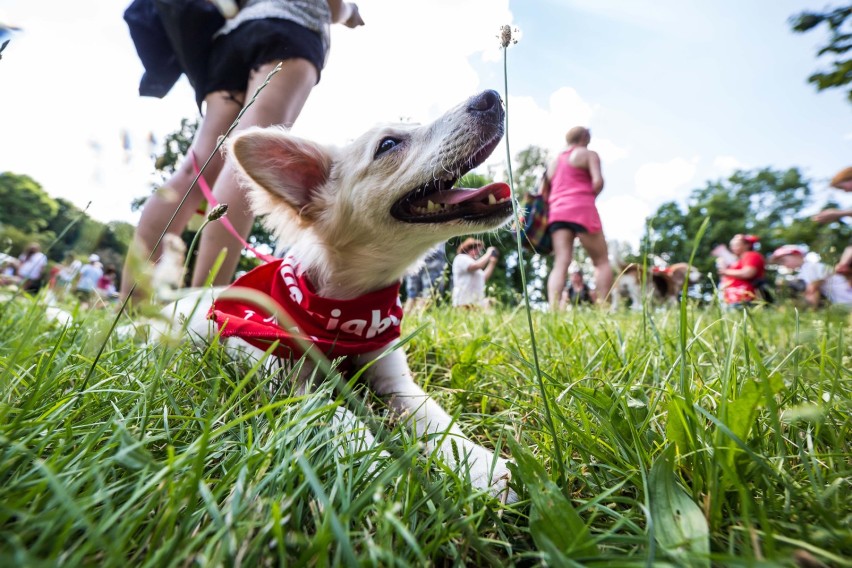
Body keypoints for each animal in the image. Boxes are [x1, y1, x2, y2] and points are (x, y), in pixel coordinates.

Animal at [146, 89, 516, 502]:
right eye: (388, 144)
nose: (492, 96)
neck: (346, 306)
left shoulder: (397, 381)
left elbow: (436, 416)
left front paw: (477, 463)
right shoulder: (290, 380)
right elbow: (339, 415)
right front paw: (378, 471)